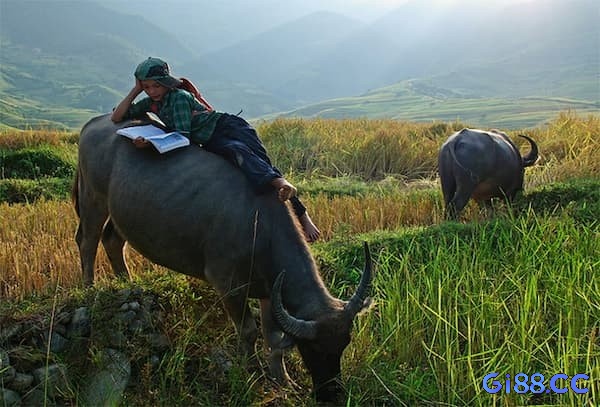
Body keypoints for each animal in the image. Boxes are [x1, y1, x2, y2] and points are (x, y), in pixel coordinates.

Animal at [72, 114, 372, 402]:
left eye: (344, 343)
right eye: (311, 348)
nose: (331, 394)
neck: (260, 225)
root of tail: (96, 123)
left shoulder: (269, 290)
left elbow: (273, 337)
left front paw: (283, 380)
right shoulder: (228, 285)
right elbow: (249, 332)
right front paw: (252, 372)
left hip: (121, 212)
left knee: (113, 240)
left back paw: (127, 282)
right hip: (92, 198)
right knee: (88, 241)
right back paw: (89, 287)